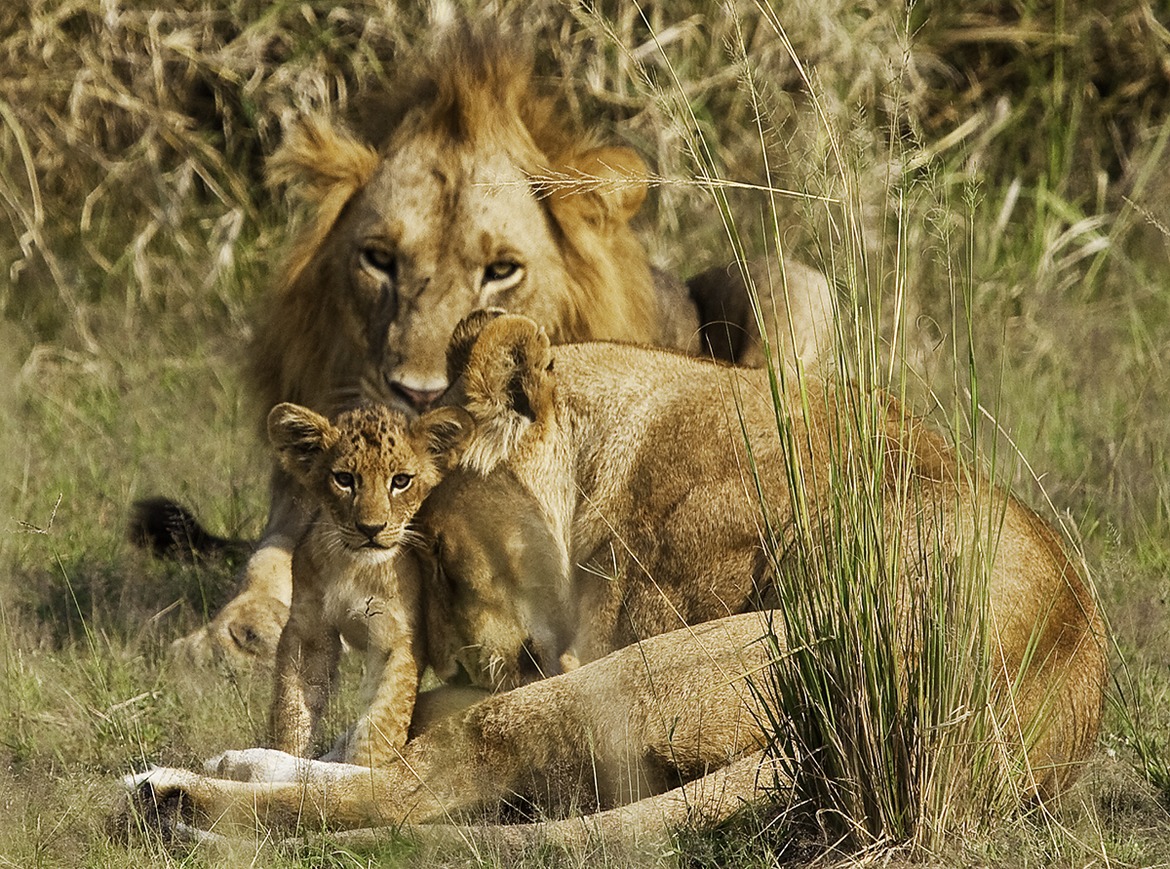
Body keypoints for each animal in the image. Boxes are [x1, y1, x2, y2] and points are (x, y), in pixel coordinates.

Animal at [154, 26, 836, 666]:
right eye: (379, 260)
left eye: (502, 270)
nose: (418, 394)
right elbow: (269, 559)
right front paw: (231, 632)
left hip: (794, 283)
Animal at [264, 401, 470, 767]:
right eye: (344, 479)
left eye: (400, 481)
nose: (371, 529)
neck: (355, 567)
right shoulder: (308, 632)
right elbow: (291, 709)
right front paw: (282, 761)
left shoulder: (399, 639)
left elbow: (381, 722)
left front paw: (359, 773)